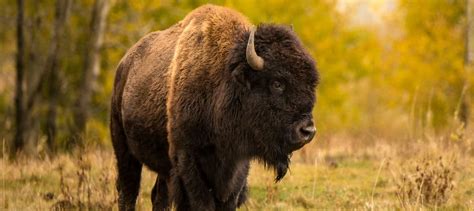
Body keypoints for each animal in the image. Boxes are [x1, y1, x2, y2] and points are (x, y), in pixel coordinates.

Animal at [110, 3, 318, 211]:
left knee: (158, 196)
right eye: (277, 83)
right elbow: (200, 201)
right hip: (123, 148)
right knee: (128, 189)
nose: (307, 131)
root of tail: (124, 64)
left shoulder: (237, 167)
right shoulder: (188, 159)